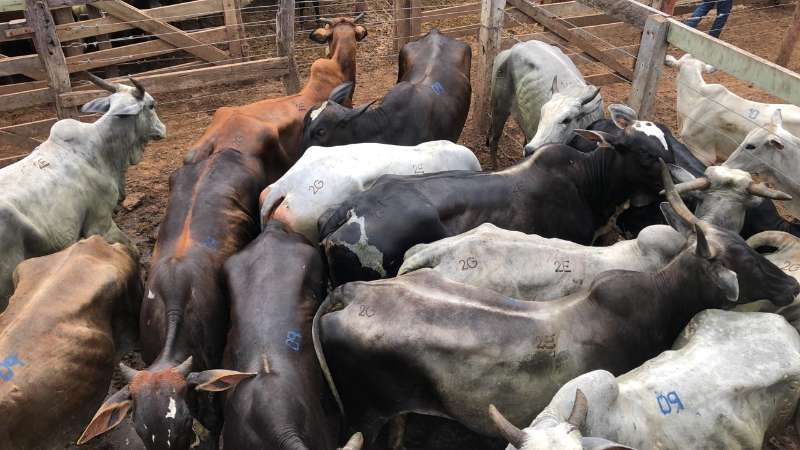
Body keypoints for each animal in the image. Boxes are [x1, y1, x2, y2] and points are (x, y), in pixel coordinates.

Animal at [487, 40, 603, 168]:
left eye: (567, 120)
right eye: (542, 113)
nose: (530, 150)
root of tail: (516, 47)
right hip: (499, 108)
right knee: (493, 138)